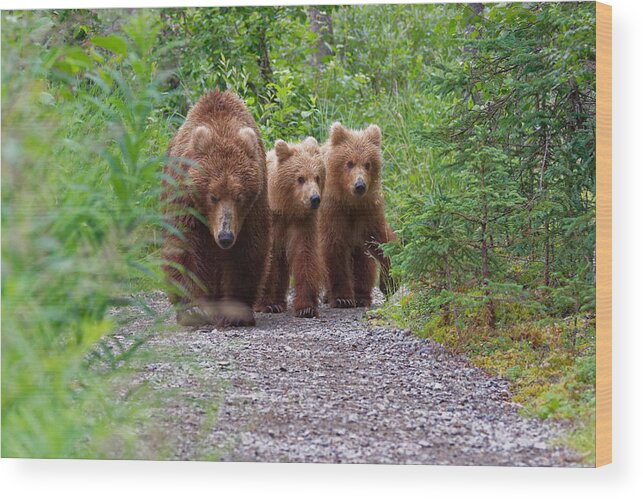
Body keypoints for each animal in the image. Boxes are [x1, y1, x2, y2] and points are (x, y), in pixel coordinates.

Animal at [164, 91, 272, 328]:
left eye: (239, 196)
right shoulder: (186, 203)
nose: (225, 236)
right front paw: (193, 309)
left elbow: (248, 249)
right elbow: (184, 248)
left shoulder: (252, 209)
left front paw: (235, 312)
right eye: (213, 196)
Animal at [320, 122, 394, 308]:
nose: (360, 185)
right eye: (349, 163)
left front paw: (389, 283)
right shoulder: (332, 211)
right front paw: (343, 298)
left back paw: (362, 296)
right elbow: (334, 248)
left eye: (368, 164)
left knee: (363, 261)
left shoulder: (369, 210)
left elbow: (380, 239)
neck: (350, 202)